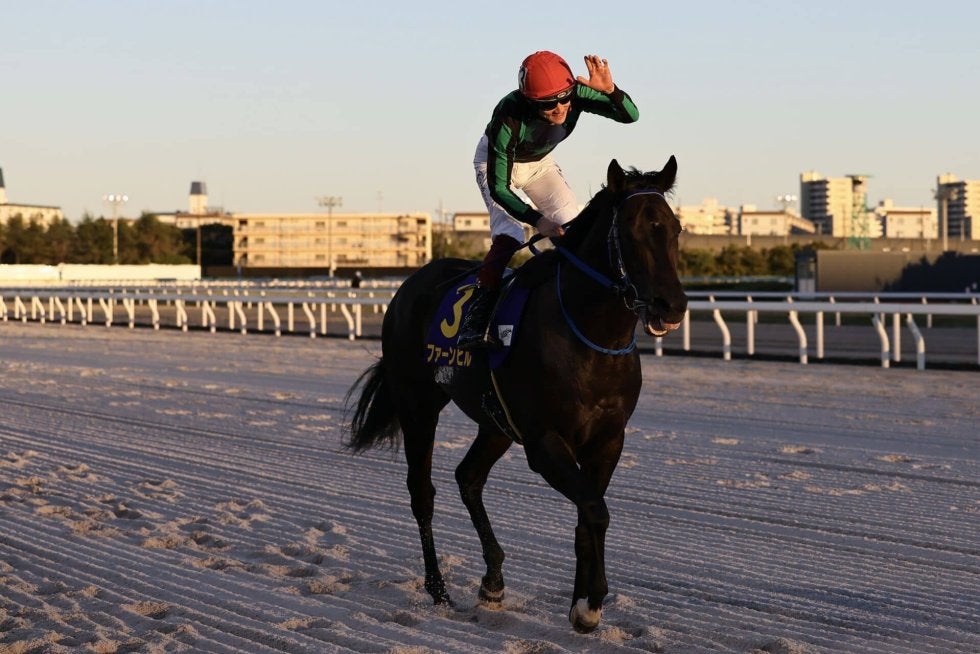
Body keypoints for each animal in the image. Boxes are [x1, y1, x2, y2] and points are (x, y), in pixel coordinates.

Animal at [345, 156, 688, 633]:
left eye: (674, 229)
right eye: (632, 230)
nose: (671, 305)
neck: (589, 336)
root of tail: (409, 286)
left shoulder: (608, 439)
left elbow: (588, 514)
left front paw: (581, 602)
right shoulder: (544, 443)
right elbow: (595, 509)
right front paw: (590, 604)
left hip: (496, 421)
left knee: (468, 477)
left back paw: (492, 581)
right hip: (418, 404)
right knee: (422, 491)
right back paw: (438, 590)